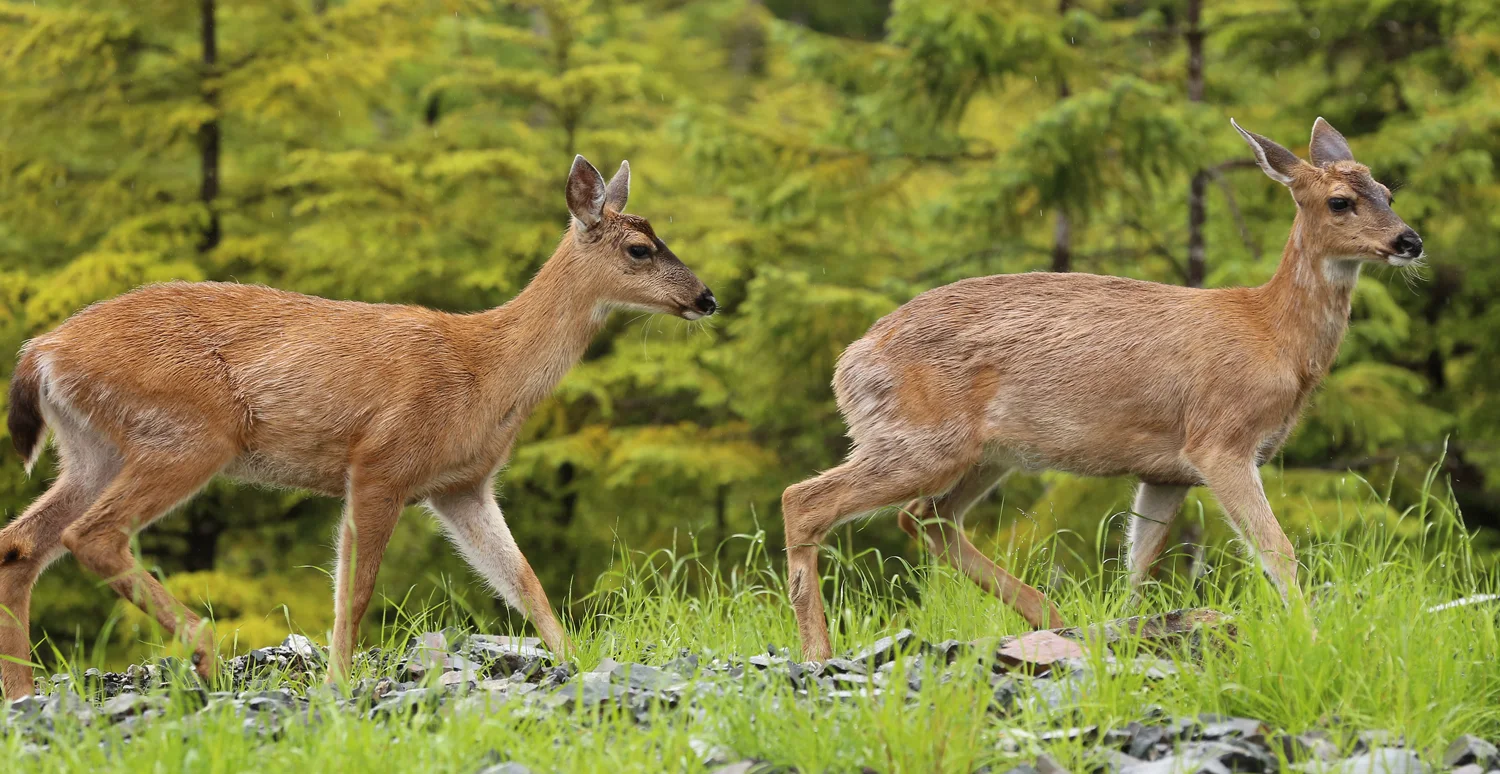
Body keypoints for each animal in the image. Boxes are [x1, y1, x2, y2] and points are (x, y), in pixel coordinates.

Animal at [0, 155, 717, 698]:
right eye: (640, 248)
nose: (706, 298)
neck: (486, 371)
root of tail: (43, 351)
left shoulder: (460, 486)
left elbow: (524, 581)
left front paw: (577, 663)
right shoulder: (381, 461)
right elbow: (357, 589)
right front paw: (339, 685)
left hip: (92, 448)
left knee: (21, 541)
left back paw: (23, 693)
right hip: (189, 432)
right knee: (92, 535)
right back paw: (204, 652)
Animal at [780, 117, 1425, 660]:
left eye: (1388, 193)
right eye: (1340, 202)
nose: (1410, 241)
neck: (1273, 337)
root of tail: (851, 361)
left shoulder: (1167, 470)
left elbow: (1137, 561)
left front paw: (1131, 629)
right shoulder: (1220, 438)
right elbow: (1276, 548)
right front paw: (1313, 639)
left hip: (984, 454)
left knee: (928, 519)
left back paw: (1049, 616)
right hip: (920, 438)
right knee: (804, 499)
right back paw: (818, 652)